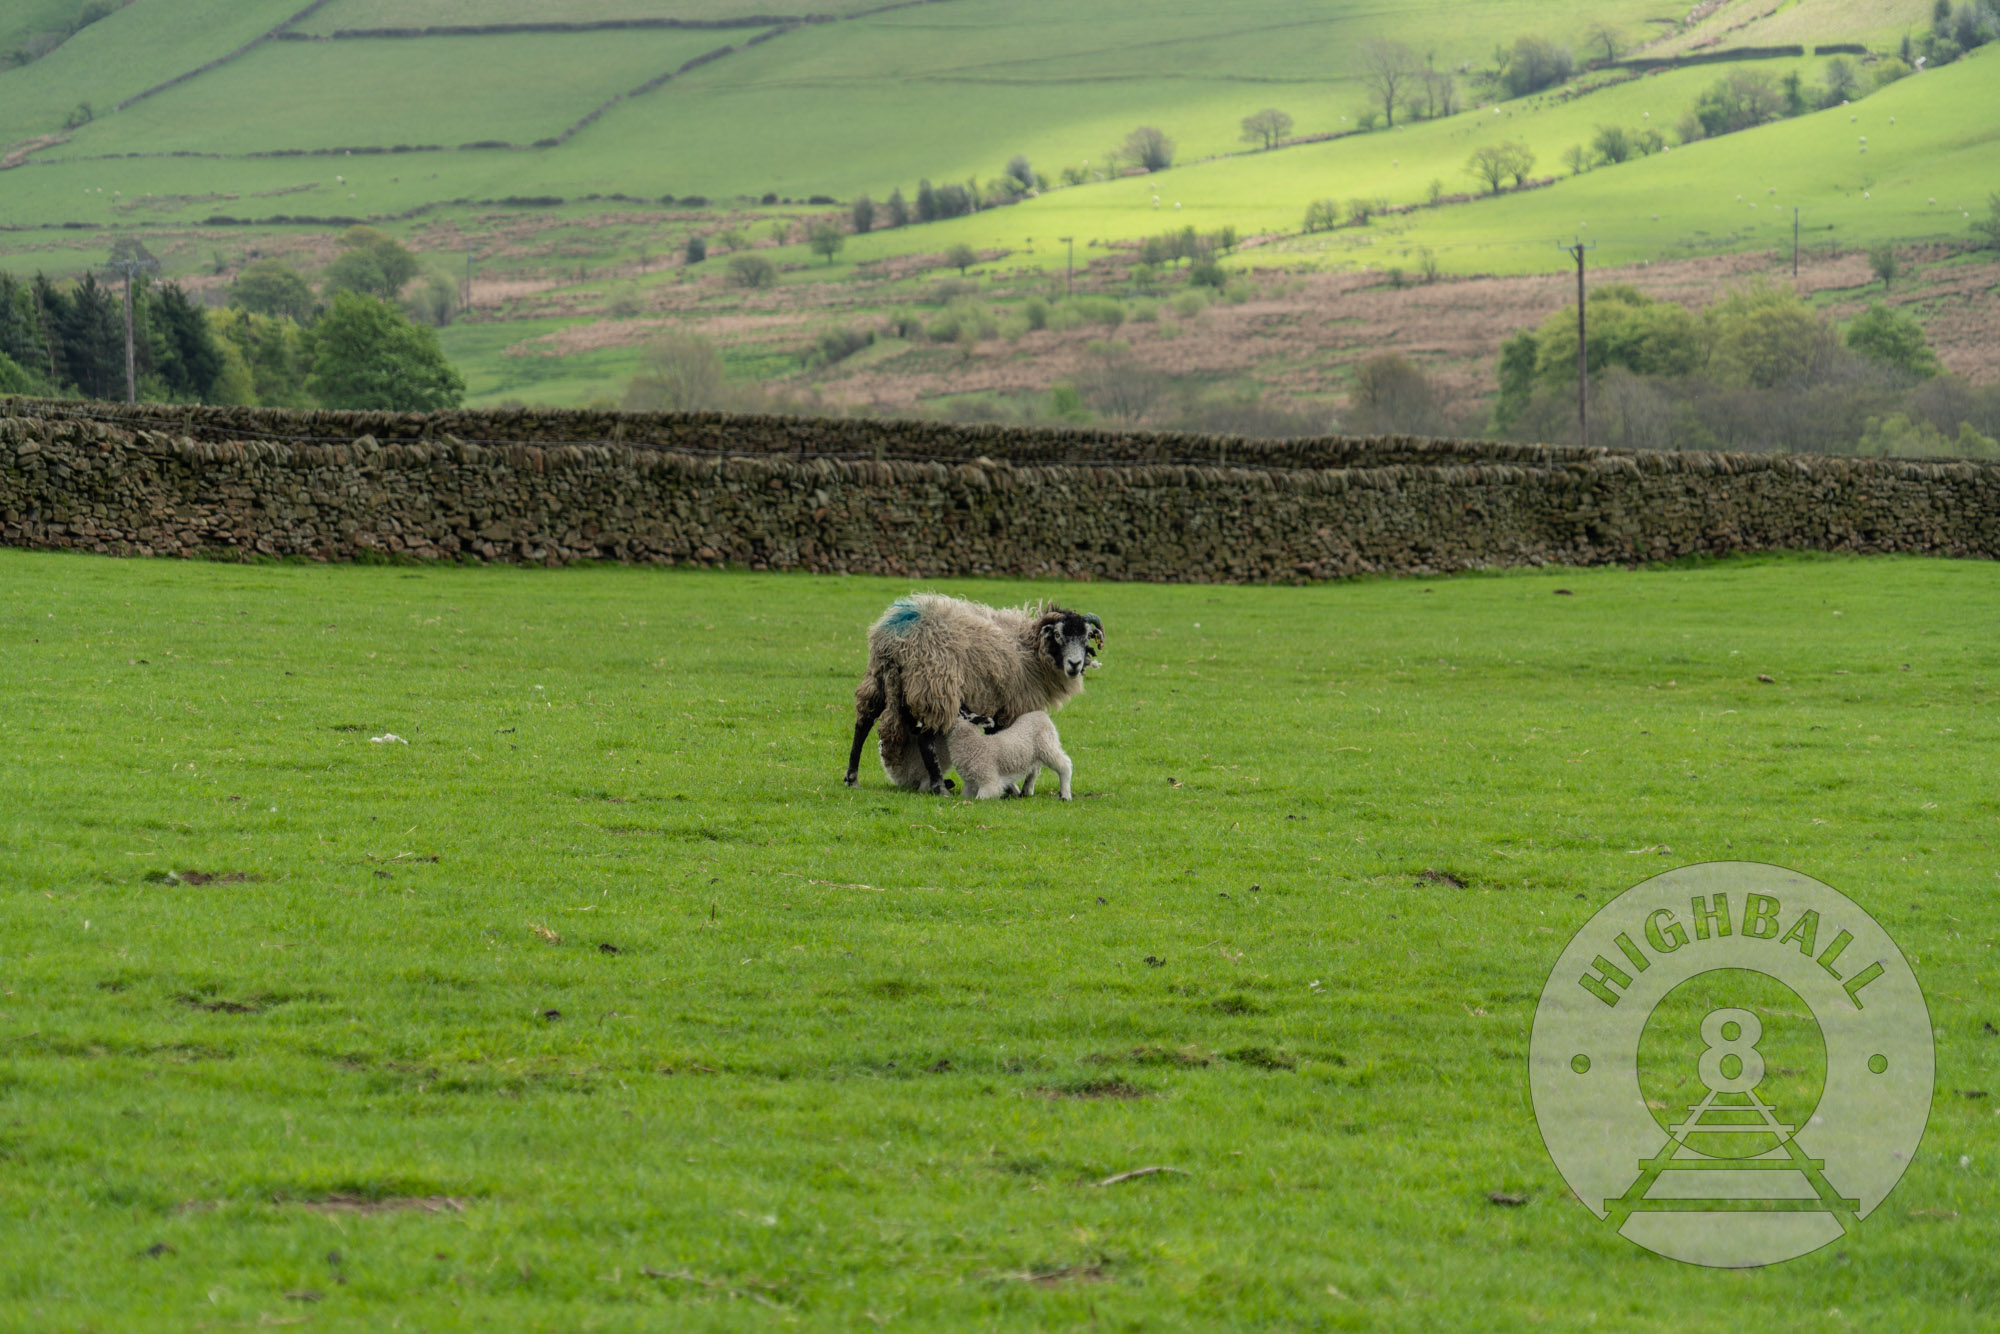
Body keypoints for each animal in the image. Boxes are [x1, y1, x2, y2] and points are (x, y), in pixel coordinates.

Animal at [944, 708, 1072, 804]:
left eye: (961, 712)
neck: (976, 746)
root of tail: (1041, 714)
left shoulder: (990, 782)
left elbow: (980, 799)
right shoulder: (970, 785)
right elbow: (964, 796)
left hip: (1048, 746)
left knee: (1065, 765)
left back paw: (1065, 795)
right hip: (1035, 754)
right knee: (1035, 770)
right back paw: (1026, 791)